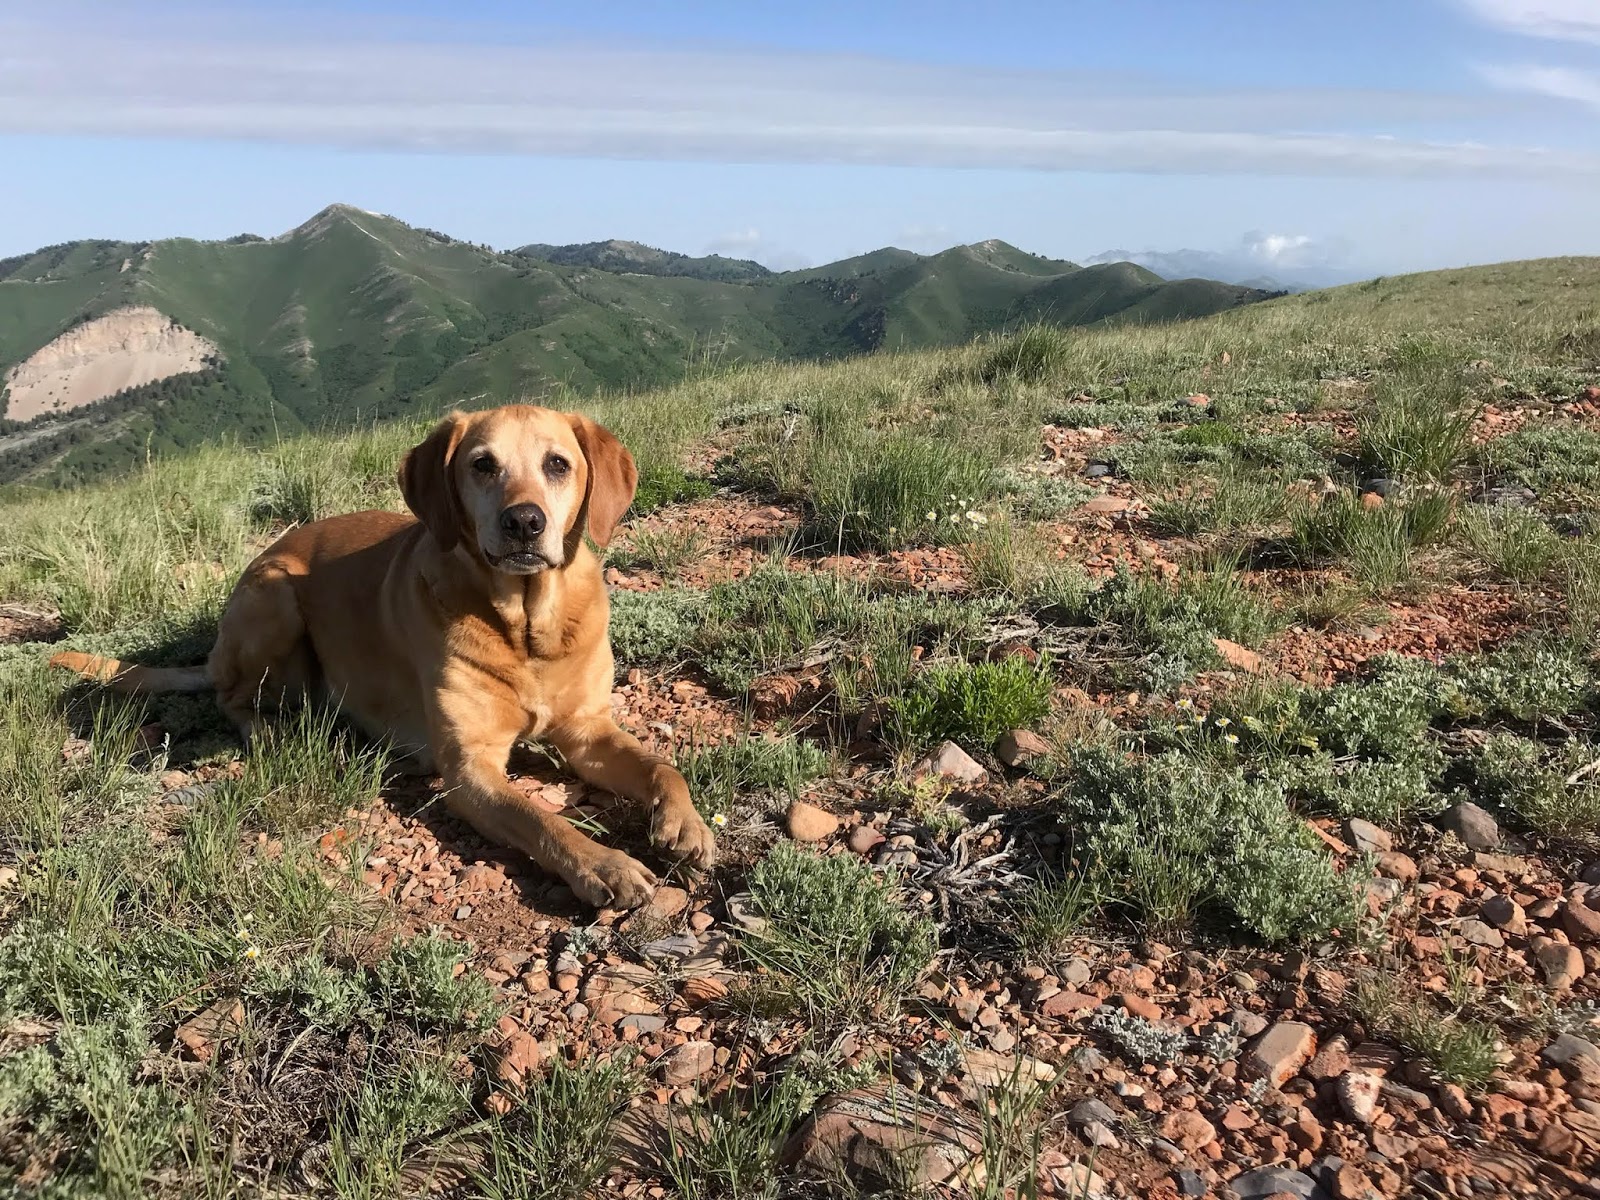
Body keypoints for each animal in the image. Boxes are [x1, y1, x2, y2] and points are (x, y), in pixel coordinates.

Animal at [56, 409, 716, 908]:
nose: (524, 522)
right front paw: (604, 865)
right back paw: (273, 734)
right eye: (482, 465)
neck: (527, 630)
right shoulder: (470, 770)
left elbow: (662, 766)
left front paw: (685, 824)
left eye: (558, 463)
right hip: (275, 594)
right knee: (232, 697)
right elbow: (543, 820)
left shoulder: (587, 731)